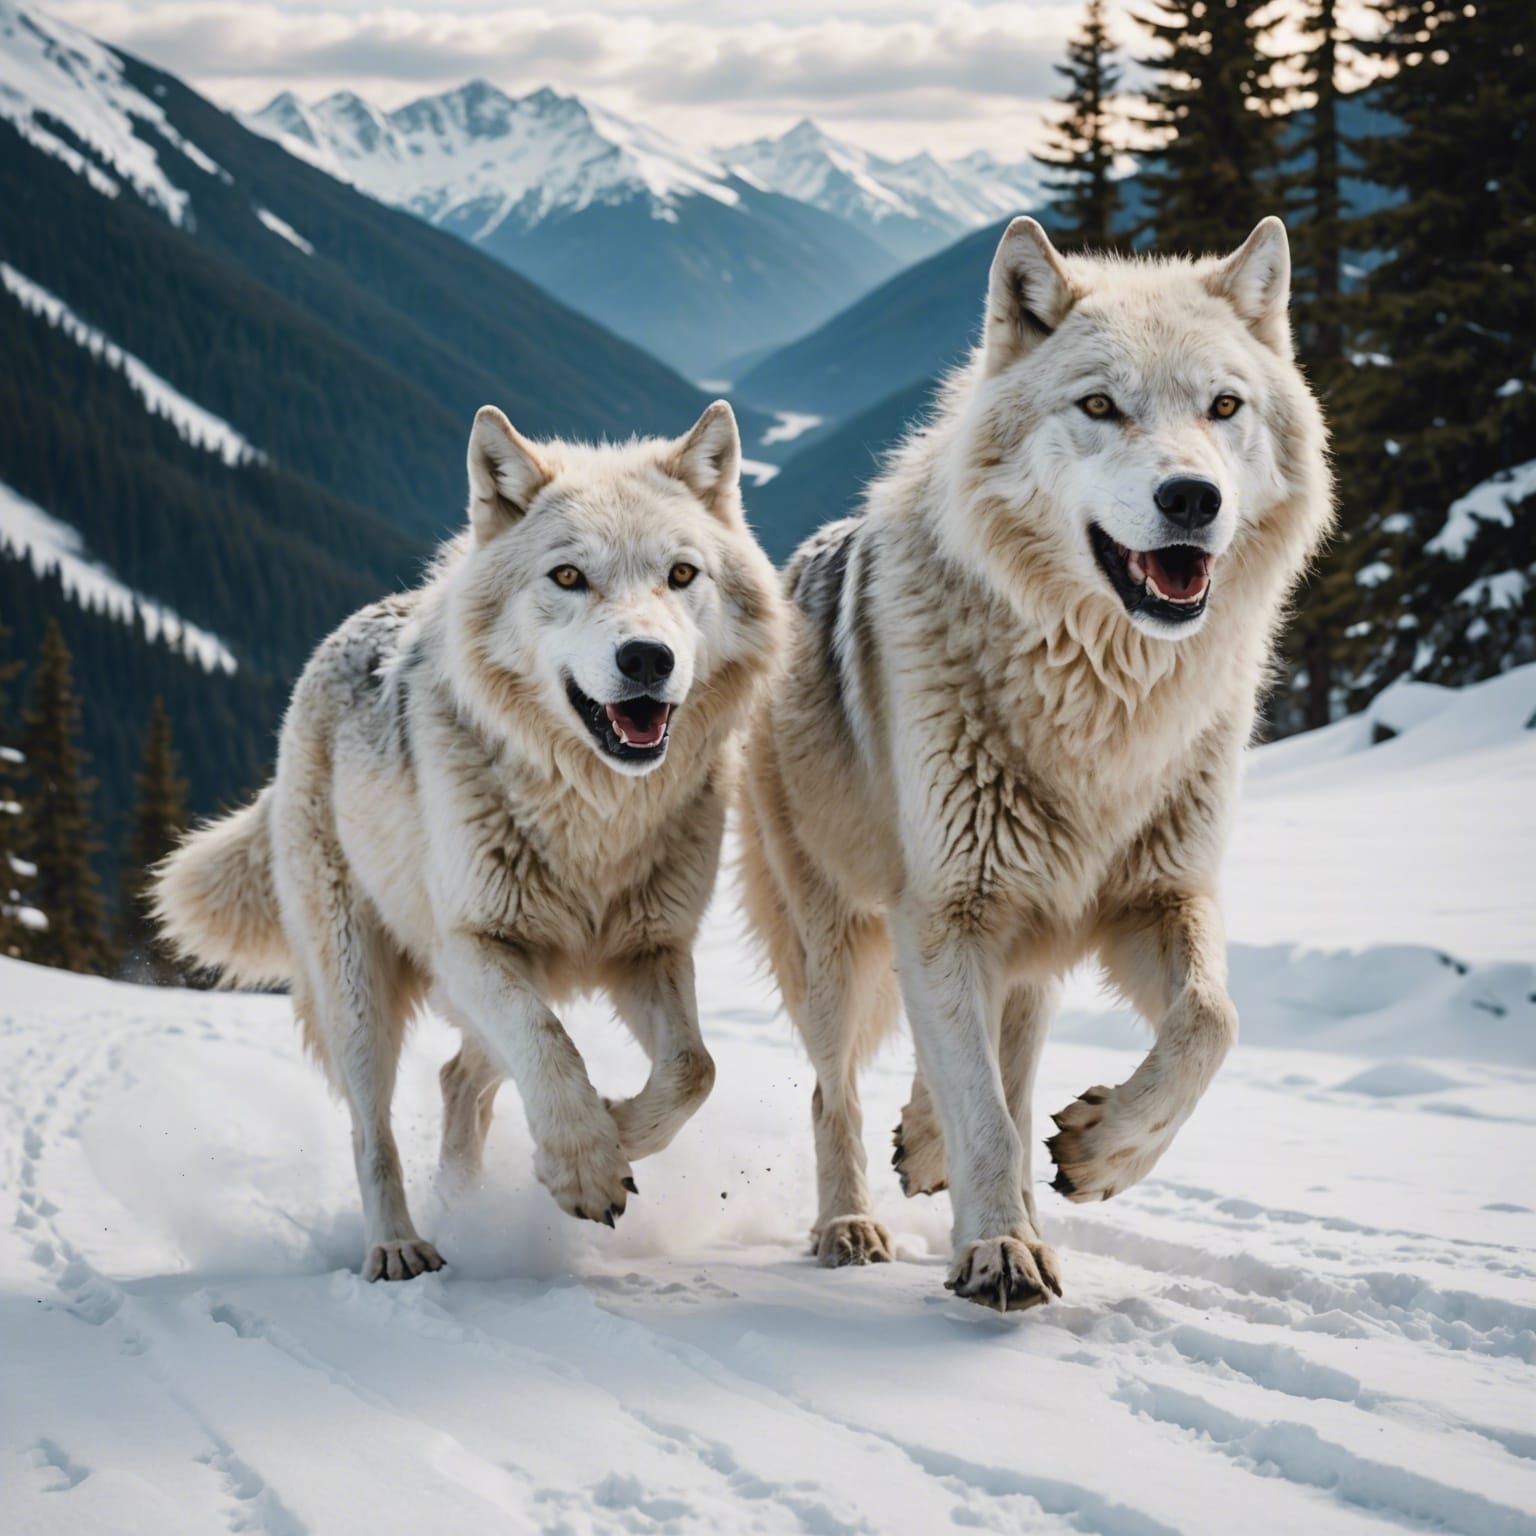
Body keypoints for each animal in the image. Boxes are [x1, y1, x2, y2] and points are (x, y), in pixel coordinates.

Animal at [156, 402, 783, 1280]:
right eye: (568, 577)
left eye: (682, 575)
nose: (647, 659)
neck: (594, 815)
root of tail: (341, 635)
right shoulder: (474, 944)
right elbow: (549, 1048)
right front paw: (585, 1163)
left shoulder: (651, 948)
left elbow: (694, 1069)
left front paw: (614, 1131)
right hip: (360, 987)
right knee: (372, 1127)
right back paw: (399, 1244)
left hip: (521, 976)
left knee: (460, 1076)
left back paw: (465, 1200)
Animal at [739, 217, 1333, 1311]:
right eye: (1100, 405)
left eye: (1224, 406)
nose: (1192, 497)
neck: (1104, 710)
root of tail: (793, 561)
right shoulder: (949, 911)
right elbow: (985, 1112)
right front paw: (1001, 1250)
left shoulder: (1160, 896)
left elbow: (1211, 1023)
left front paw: (1103, 1151)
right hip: (838, 942)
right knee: (835, 1088)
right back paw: (849, 1224)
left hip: (1026, 950)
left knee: (990, 1063)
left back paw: (929, 1145)